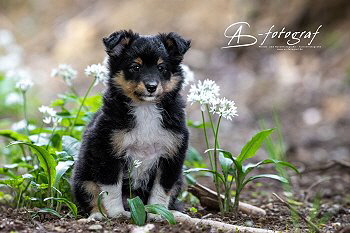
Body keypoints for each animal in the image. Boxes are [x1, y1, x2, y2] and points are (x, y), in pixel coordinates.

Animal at [71, 29, 190, 220]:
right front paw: (117, 213)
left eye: (161, 68)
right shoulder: (108, 152)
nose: (151, 86)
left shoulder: (171, 157)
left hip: (179, 179)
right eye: (136, 67)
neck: (146, 109)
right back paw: (98, 215)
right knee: (92, 196)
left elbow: (161, 189)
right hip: (83, 177)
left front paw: (158, 212)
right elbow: (111, 188)